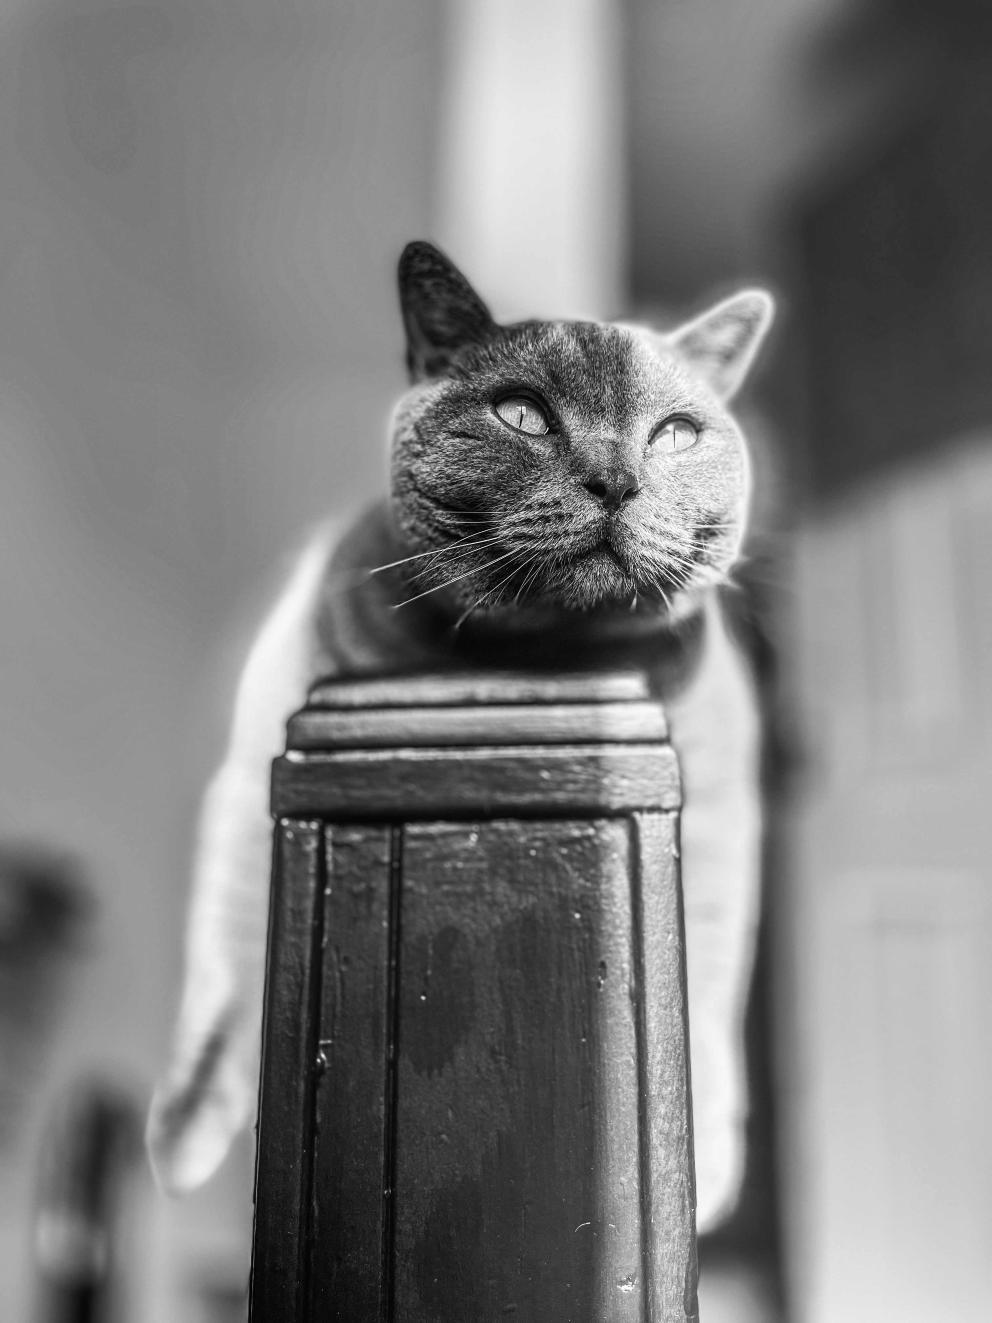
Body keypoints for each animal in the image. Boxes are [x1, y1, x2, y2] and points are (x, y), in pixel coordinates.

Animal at [145, 240, 777, 1238]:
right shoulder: (260, 758)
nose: (616, 480)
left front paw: (700, 1163)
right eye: (521, 413)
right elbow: (231, 938)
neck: (538, 659)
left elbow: (709, 961)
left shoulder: (716, 795)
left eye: (676, 434)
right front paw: (184, 1131)